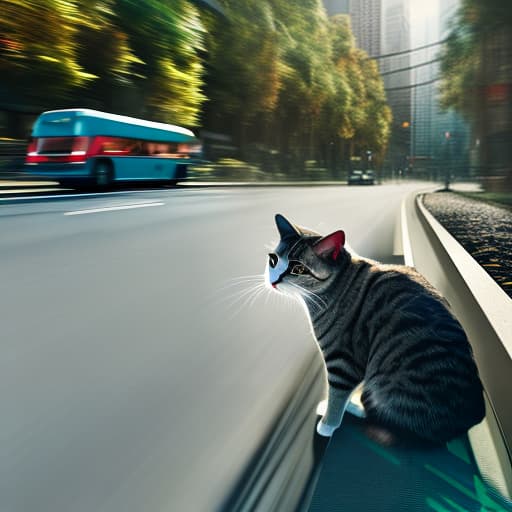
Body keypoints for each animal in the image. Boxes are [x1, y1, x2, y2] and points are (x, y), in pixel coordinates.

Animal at [266, 214, 486, 442]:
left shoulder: (343, 362)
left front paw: (327, 424)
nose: (273, 281)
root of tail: (471, 418)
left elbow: (337, 396)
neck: (338, 283)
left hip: (389, 386)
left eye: (298, 269)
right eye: (273, 260)